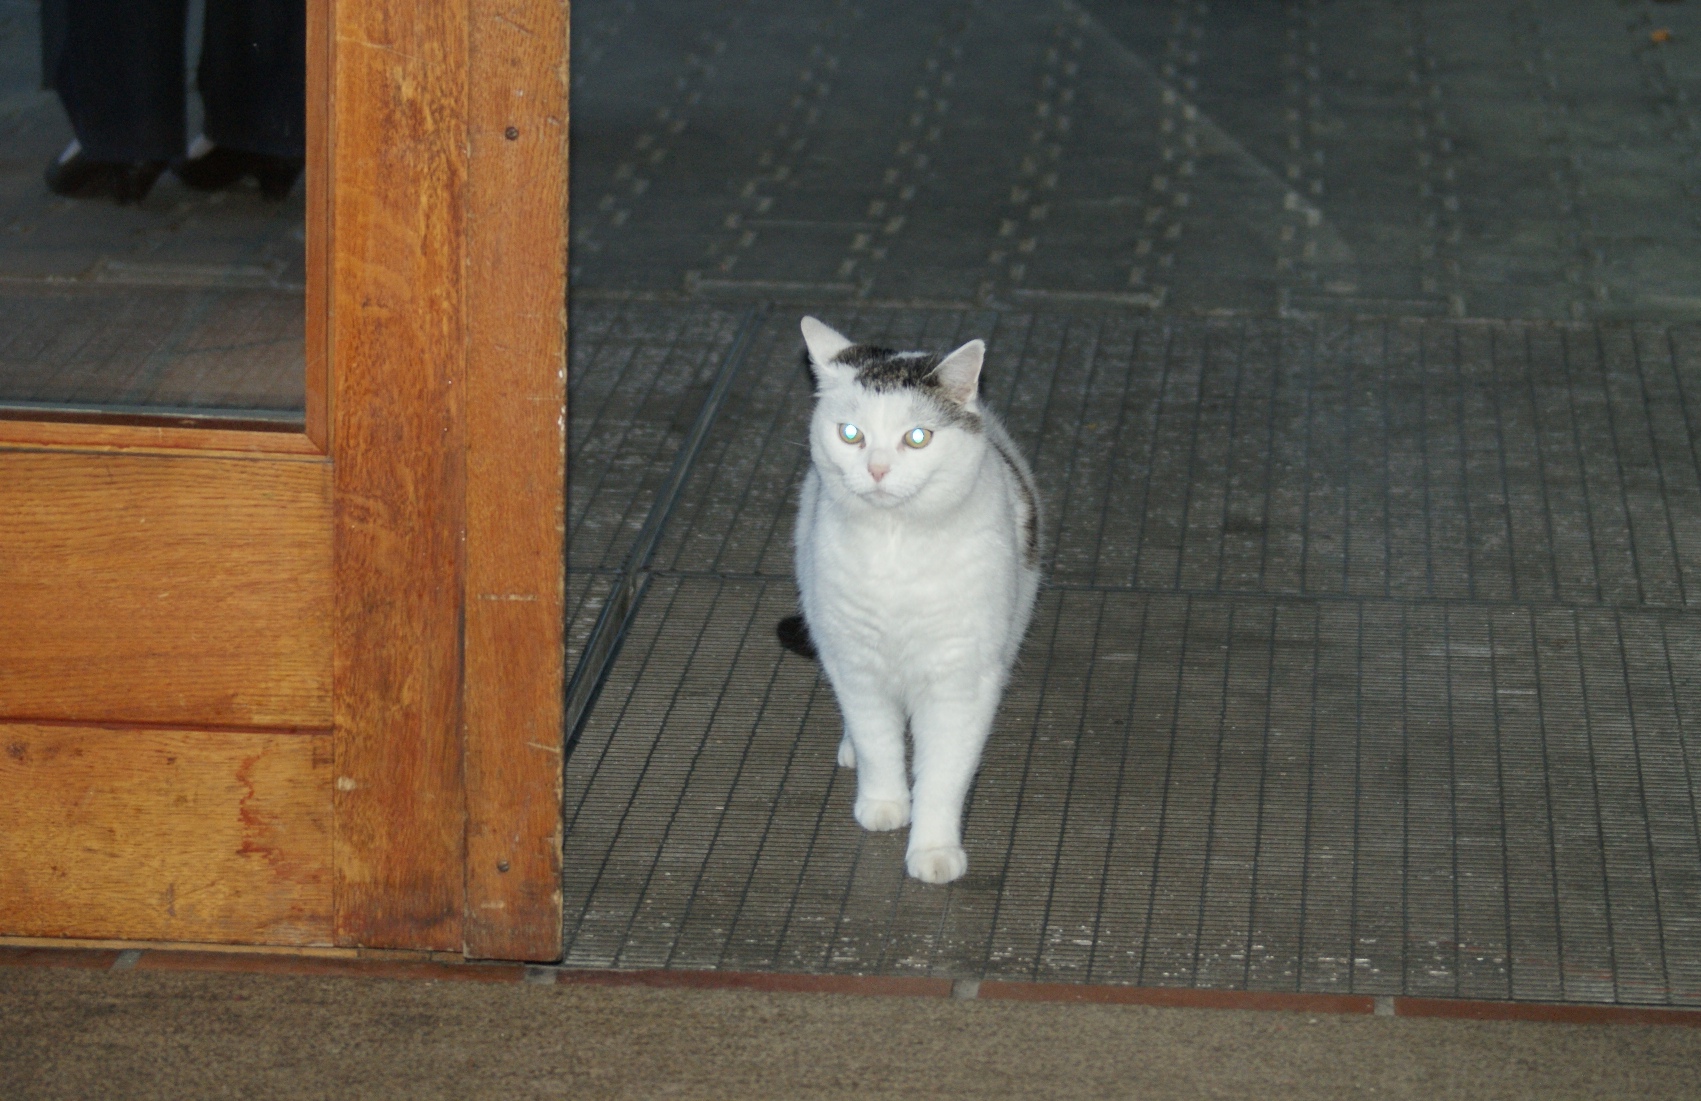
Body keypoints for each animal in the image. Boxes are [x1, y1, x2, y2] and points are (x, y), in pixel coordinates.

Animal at [782, 316, 1040, 884]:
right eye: (850, 434)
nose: (877, 469)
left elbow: (943, 773)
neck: (895, 544)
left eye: (917, 437)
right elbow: (878, 741)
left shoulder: (960, 679)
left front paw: (934, 849)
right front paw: (883, 803)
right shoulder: (855, 663)